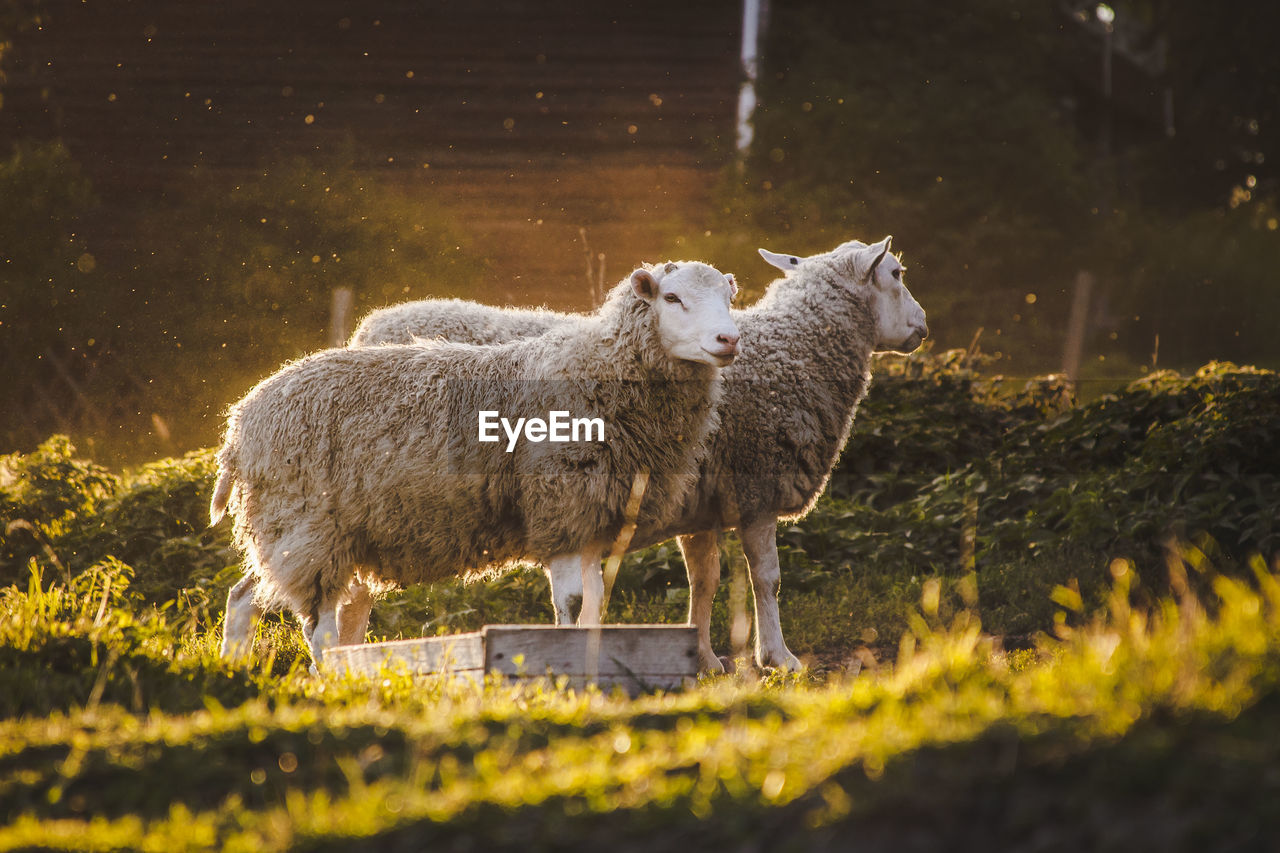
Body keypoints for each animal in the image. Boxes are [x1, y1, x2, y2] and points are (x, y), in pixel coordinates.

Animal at [209, 261, 742, 666]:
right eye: (672, 298)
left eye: (729, 297)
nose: (728, 339)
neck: (597, 370)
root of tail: (239, 423)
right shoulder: (560, 508)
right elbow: (571, 604)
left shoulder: (591, 520)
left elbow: (594, 606)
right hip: (308, 524)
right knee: (317, 625)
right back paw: (332, 677)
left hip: (294, 530)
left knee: (245, 596)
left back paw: (236, 665)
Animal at [314, 234, 926, 671]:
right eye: (896, 274)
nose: (922, 326)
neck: (793, 348)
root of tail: (368, 329)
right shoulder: (755, 487)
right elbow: (767, 578)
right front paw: (778, 658)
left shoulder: (699, 505)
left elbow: (704, 581)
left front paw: (706, 658)